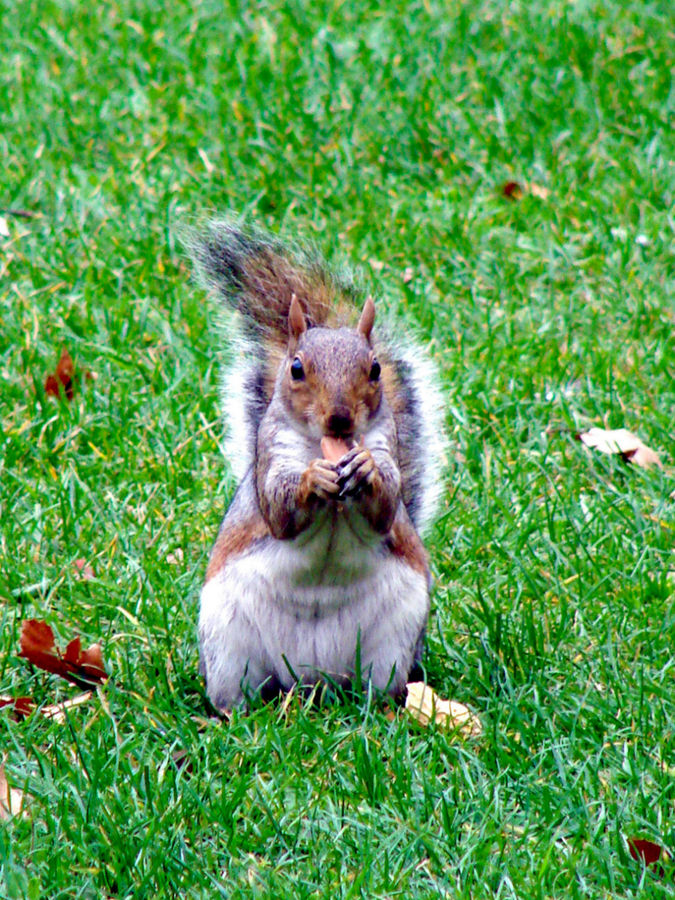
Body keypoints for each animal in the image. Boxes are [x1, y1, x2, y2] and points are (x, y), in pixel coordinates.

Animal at [187, 220, 446, 712]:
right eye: (296, 368)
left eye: (375, 369)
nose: (340, 418)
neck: (320, 445)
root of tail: (310, 679)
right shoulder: (272, 455)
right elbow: (279, 510)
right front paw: (313, 479)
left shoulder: (387, 448)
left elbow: (386, 507)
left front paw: (364, 469)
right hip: (227, 646)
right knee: (235, 694)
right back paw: (226, 717)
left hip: (392, 644)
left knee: (380, 688)